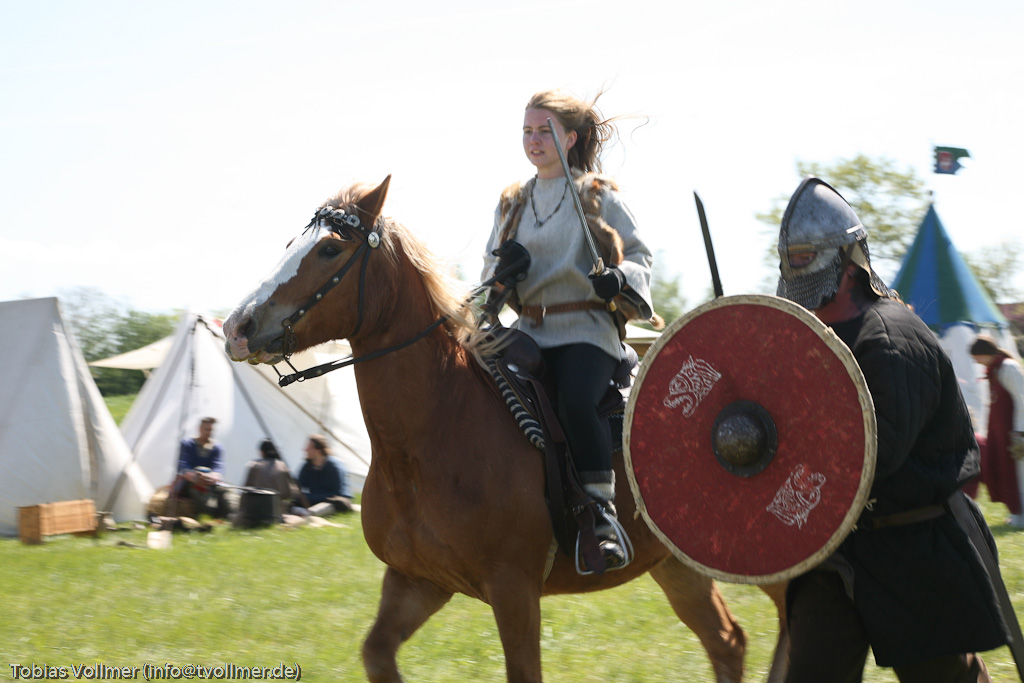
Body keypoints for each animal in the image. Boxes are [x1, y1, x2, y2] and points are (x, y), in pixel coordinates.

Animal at [223, 176, 789, 683]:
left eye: (329, 249)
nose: (237, 328)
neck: (429, 435)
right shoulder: (417, 582)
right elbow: (376, 655)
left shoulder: (513, 590)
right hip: (676, 564)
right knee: (727, 642)